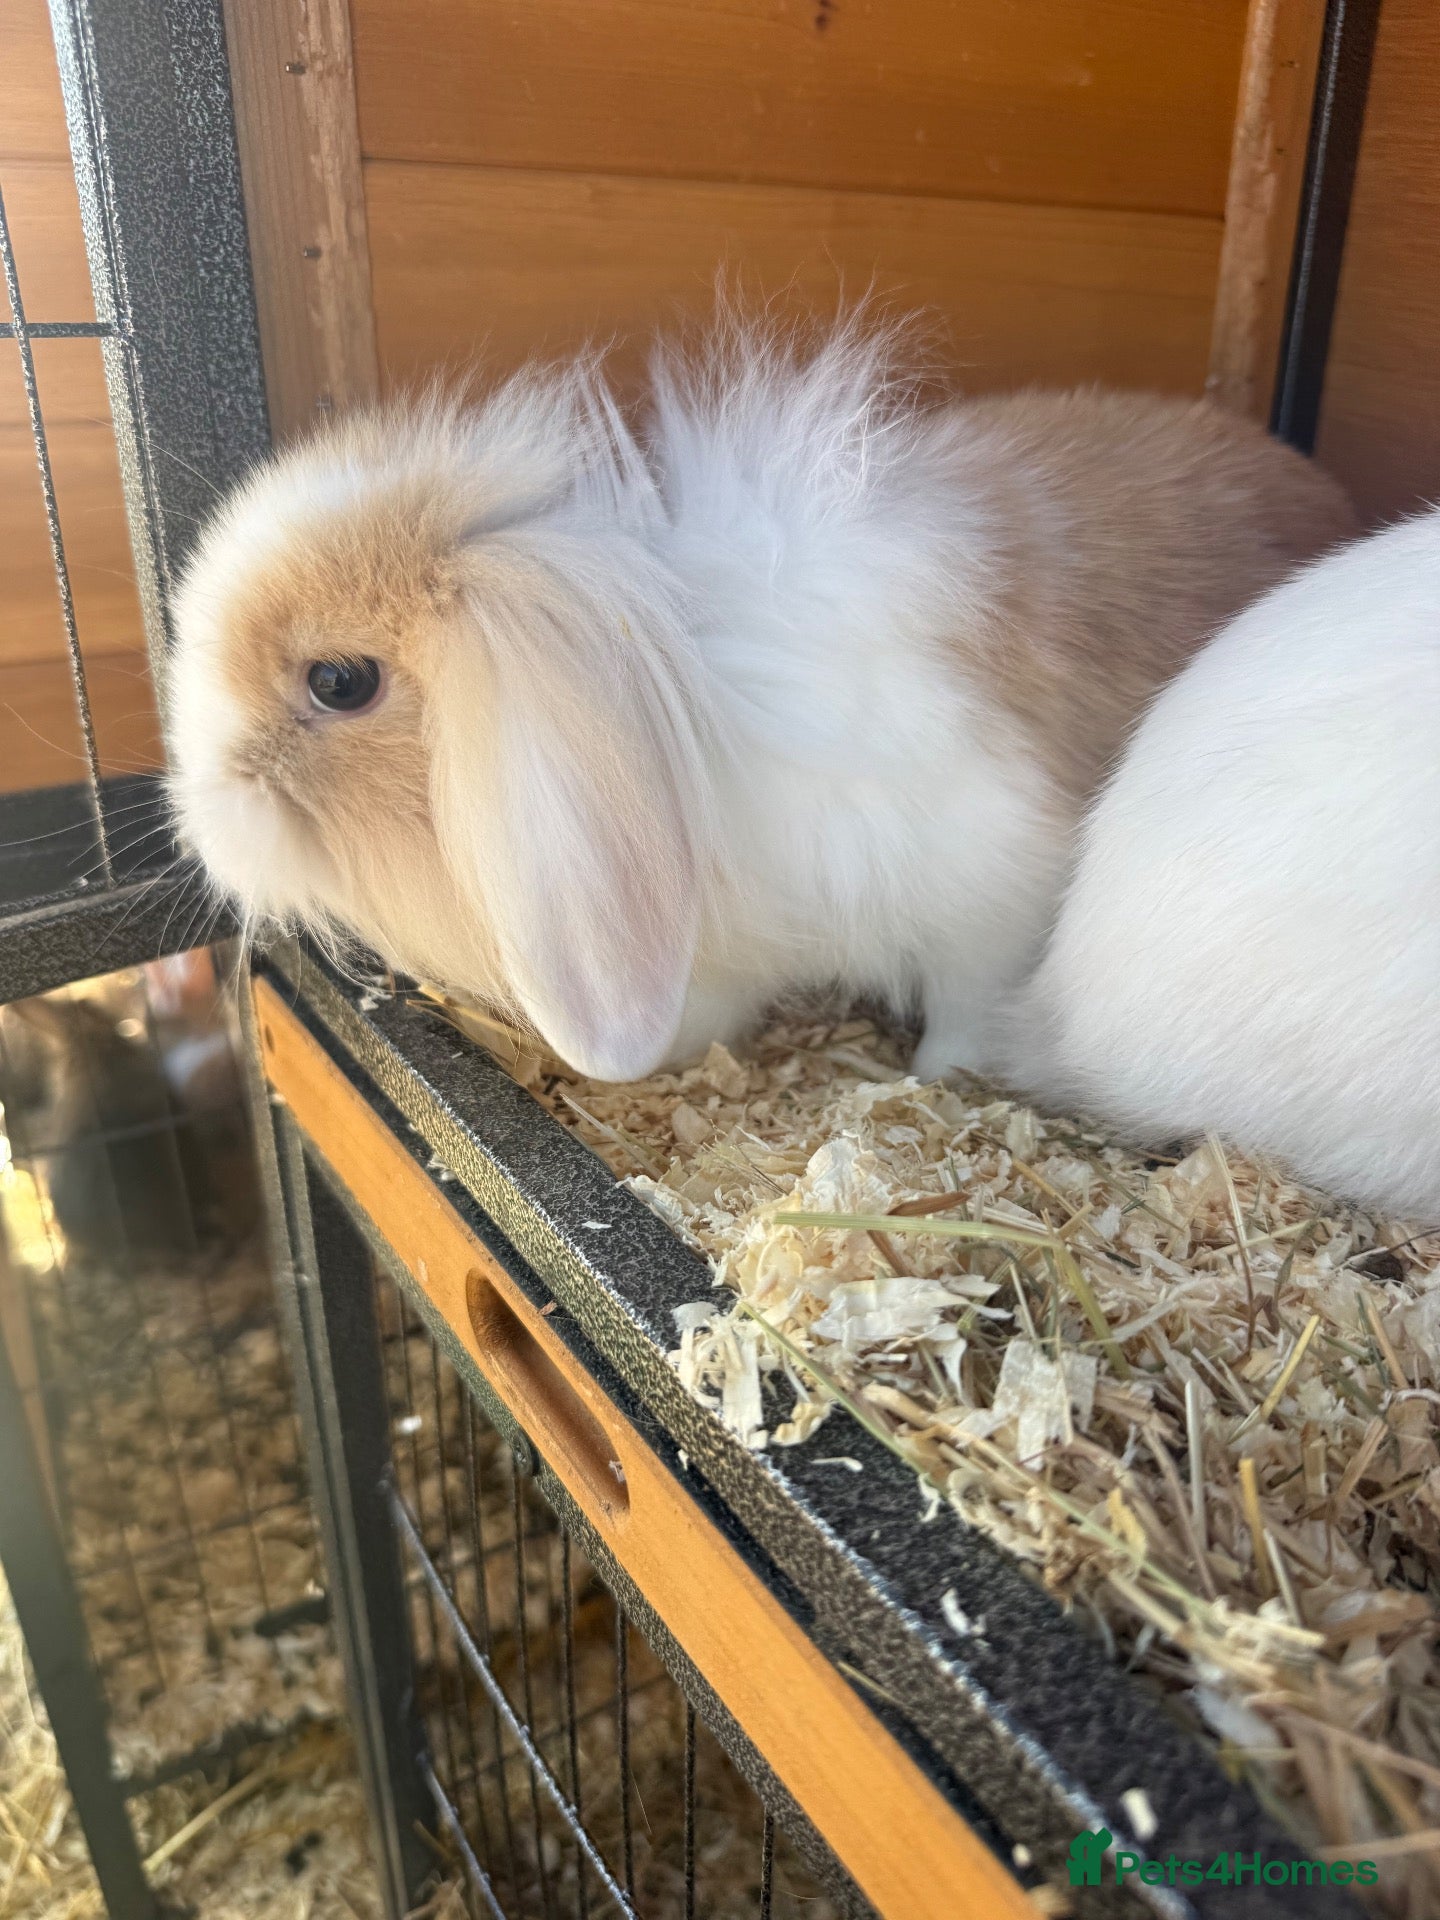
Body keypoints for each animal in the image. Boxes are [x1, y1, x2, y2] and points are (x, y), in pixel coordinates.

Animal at [167, 315, 1356, 1083]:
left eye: (339, 683)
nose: (197, 812)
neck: (665, 717)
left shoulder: (993, 895)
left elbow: (967, 1006)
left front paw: (929, 1082)